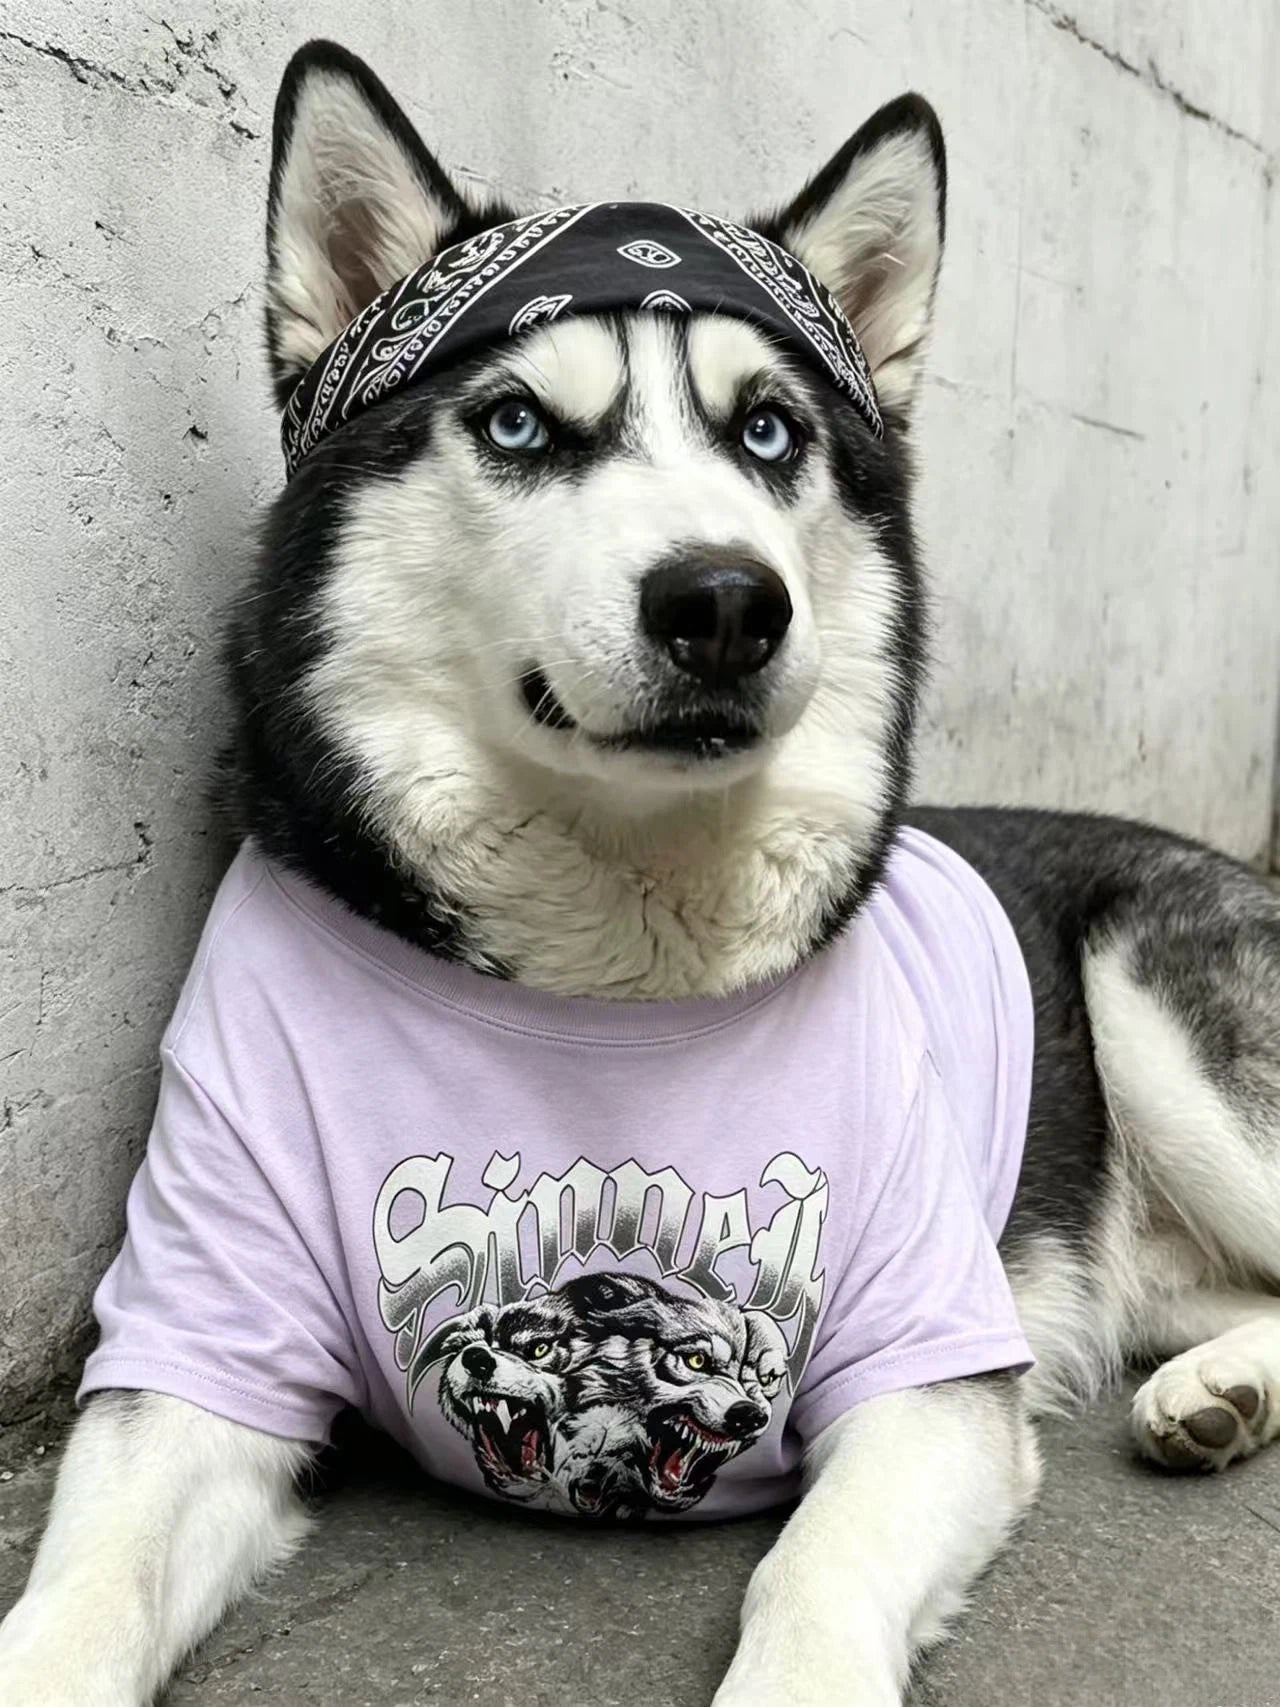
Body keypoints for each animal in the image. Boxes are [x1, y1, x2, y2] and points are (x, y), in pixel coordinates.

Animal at [2, 36, 1279, 1707]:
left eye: (770, 433)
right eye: (517, 426)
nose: (726, 600)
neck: (609, 960)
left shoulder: (932, 1359)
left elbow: (814, 1569)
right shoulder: (192, 1350)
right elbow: (81, 1590)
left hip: (1156, 1011)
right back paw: (1219, 1385)